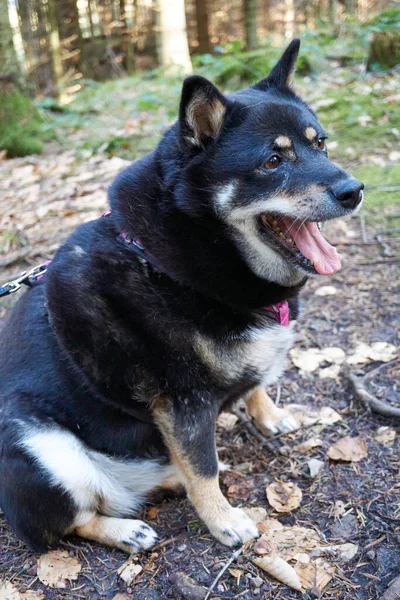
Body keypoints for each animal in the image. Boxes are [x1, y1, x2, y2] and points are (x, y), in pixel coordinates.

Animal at [0, 38, 362, 552]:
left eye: (321, 143)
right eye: (272, 162)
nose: (355, 190)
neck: (179, 258)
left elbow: (255, 389)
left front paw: (270, 415)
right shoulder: (182, 402)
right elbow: (203, 468)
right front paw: (223, 520)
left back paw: (169, 480)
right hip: (40, 446)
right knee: (70, 522)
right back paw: (127, 530)